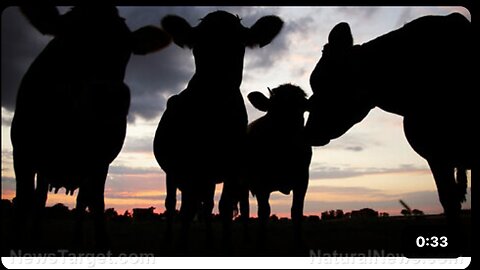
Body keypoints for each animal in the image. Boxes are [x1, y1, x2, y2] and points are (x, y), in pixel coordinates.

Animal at [9, 5, 171, 249]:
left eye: (127, 48)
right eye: (67, 35)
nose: (111, 96)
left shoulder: (100, 161)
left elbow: (96, 204)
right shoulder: (22, 152)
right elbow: (23, 202)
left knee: (81, 201)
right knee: (40, 197)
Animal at [152, 10, 284, 245]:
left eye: (240, 44)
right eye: (197, 46)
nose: (216, 83)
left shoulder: (231, 168)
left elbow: (223, 208)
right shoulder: (188, 167)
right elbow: (186, 210)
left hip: (208, 177)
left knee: (206, 206)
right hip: (174, 172)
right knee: (172, 203)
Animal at [240, 83, 312, 242]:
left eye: (301, 109)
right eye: (273, 110)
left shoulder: (302, 180)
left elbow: (296, 211)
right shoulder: (261, 183)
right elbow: (263, 211)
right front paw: (261, 241)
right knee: (244, 209)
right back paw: (246, 239)